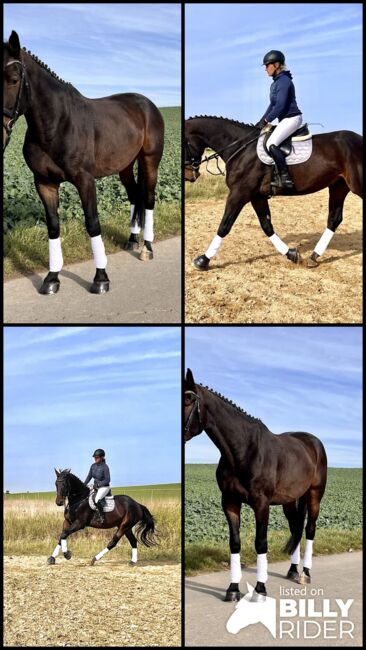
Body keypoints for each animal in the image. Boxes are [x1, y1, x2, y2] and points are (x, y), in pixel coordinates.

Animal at [3, 31, 164, 294]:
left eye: (14, 79)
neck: (56, 125)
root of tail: (147, 104)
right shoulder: (44, 183)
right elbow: (53, 226)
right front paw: (52, 278)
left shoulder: (85, 181)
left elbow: (92, 223)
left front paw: (101, 278)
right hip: (125, 167)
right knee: (134, 196)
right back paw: (132, 241)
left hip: (150, 161)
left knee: (148, 199)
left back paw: (147, 249)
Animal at [184, 368, 328, 600]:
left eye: (188, 399)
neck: (243, 451)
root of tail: (313, 442)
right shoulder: (230, 502)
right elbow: (235, 543)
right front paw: (233, 589)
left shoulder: (261, 505)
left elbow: (261, 543)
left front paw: (260, 589)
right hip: (290, 501)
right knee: (295, 528)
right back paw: (292, 570)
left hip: (315, 495)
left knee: (309, 529)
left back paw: (305, 574)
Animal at [186, 115, 364, 268]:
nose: (189, 176)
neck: (240, 148)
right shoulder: (257, 196)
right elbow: (266, 225)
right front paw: (292, 254)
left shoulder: (239, 193)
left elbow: (224, 225)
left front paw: (203, 260)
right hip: (338, 186)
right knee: (334, 219)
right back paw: (314, 257)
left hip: (355, 186)